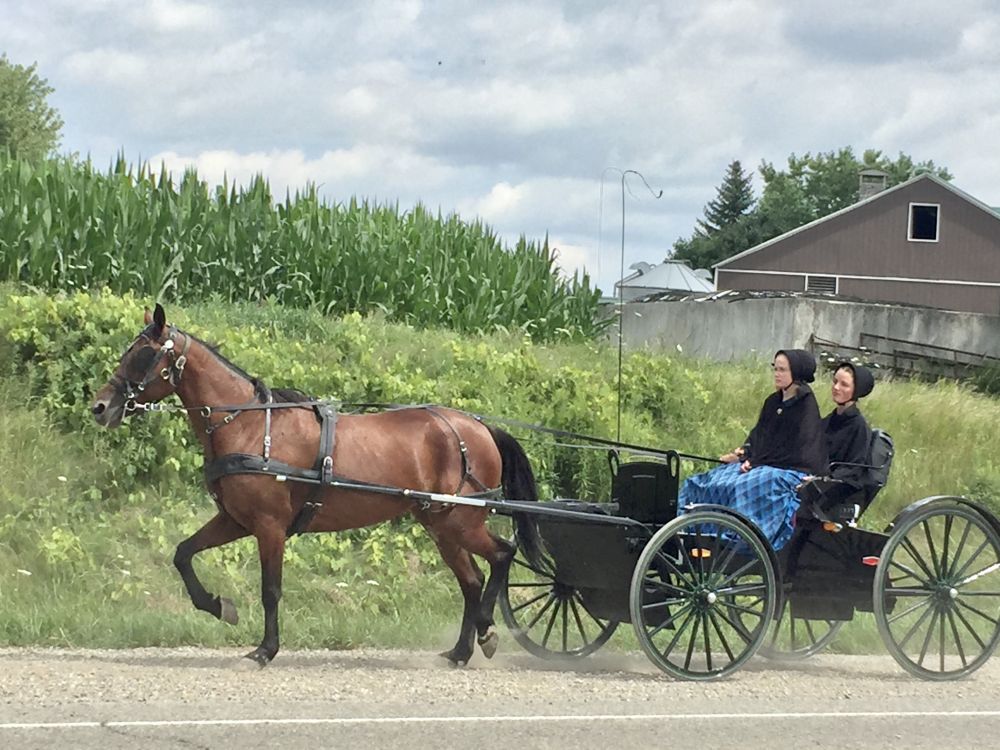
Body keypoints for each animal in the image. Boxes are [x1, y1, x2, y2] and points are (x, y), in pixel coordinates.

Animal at [91, 304, 543, 667]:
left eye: (143, 354)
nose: (100, 407)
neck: (249, 426)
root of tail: (479, 428)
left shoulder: (269, 526)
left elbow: (271, 589)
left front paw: (264, 650)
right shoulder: (235, 520)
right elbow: (183, 554)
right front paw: (220, 606)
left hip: (461, 521)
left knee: (501, 556)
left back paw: (486, 629)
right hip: (440, 523)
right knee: (471, 581)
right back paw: (461, 651)